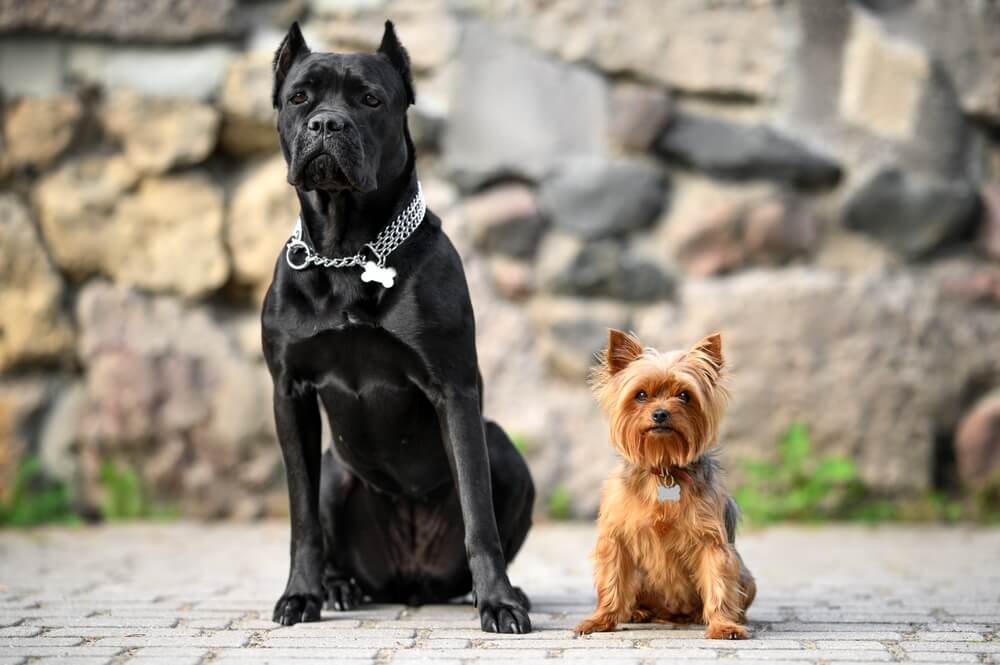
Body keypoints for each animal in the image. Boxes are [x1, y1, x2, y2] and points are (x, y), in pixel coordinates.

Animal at [262, 22, 536, 632]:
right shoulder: (289, 393)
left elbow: (477, 512)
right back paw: (338, 589)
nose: (326, 124)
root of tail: (411, 582)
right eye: (299, 97)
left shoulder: (453, 388)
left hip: (503, 448)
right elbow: (299, 518)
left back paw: (503, 591)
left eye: (369, 99)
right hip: (335, 469)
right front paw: (300, 594)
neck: (346, 251)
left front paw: (499, 601)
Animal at [576, 330, 752, 640]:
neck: (664, 469)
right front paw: (601, 620)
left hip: (747, 578)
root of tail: (672, 615)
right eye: (640, 395)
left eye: (684, 395)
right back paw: (636, 612)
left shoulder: (711, 542)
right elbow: (611, 581)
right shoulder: (616, 538)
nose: (660, 414)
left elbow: (718, 582)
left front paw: (724, 625)